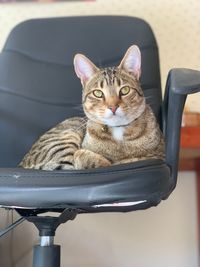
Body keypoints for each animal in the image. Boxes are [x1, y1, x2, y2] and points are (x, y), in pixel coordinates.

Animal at [19, 44, 165, 171]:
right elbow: (83, 157)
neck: (118, 132)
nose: (113, 107)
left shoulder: (159, 153)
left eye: (125, 90)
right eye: (98, 93)